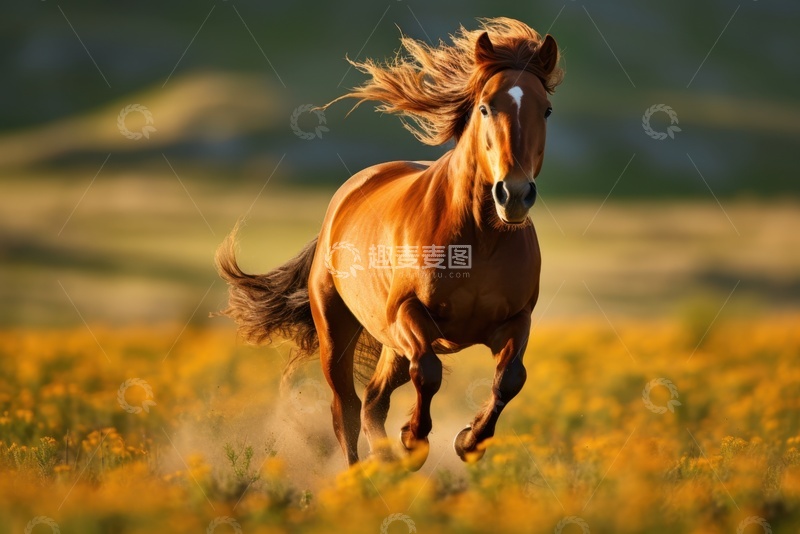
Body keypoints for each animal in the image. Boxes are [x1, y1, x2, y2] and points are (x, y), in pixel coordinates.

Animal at [215, 17, 563, 469]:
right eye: (486, 107)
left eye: (546, 110)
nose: (515, 194)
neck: (479, 241)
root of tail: (342, 199)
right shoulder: (407, 313)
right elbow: (428, 373)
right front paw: (414, 440)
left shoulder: (517, 319)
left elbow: (510, 379)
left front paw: (468, 441)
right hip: (339, 333)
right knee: (346, 407)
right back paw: (361, 474)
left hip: (392, 348)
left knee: (373, 402)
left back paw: (385, 464)